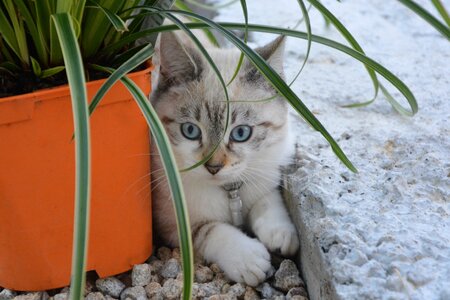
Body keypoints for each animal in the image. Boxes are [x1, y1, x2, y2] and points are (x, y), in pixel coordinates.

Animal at [149, 30, 300, 286]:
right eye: (190, 131)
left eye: (241, 133)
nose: (213, 167)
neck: (229, 190)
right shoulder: (173, 223)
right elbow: (213, 230)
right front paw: (250, 259)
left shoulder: (264, 170)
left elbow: (266, 200)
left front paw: (280, 235)